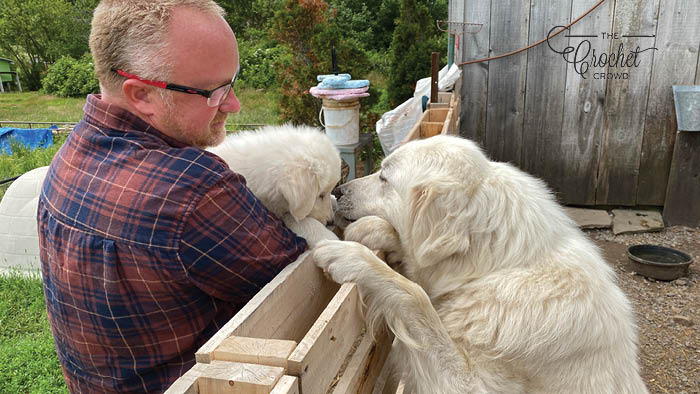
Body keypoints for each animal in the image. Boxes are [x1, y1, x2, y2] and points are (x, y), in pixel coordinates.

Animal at [314, 135, 648, 394]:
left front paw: (351, 256)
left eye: (384, 177)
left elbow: (414, 296)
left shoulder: (468, 383)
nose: (338, 191)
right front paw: (368, 231)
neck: (495, 267)